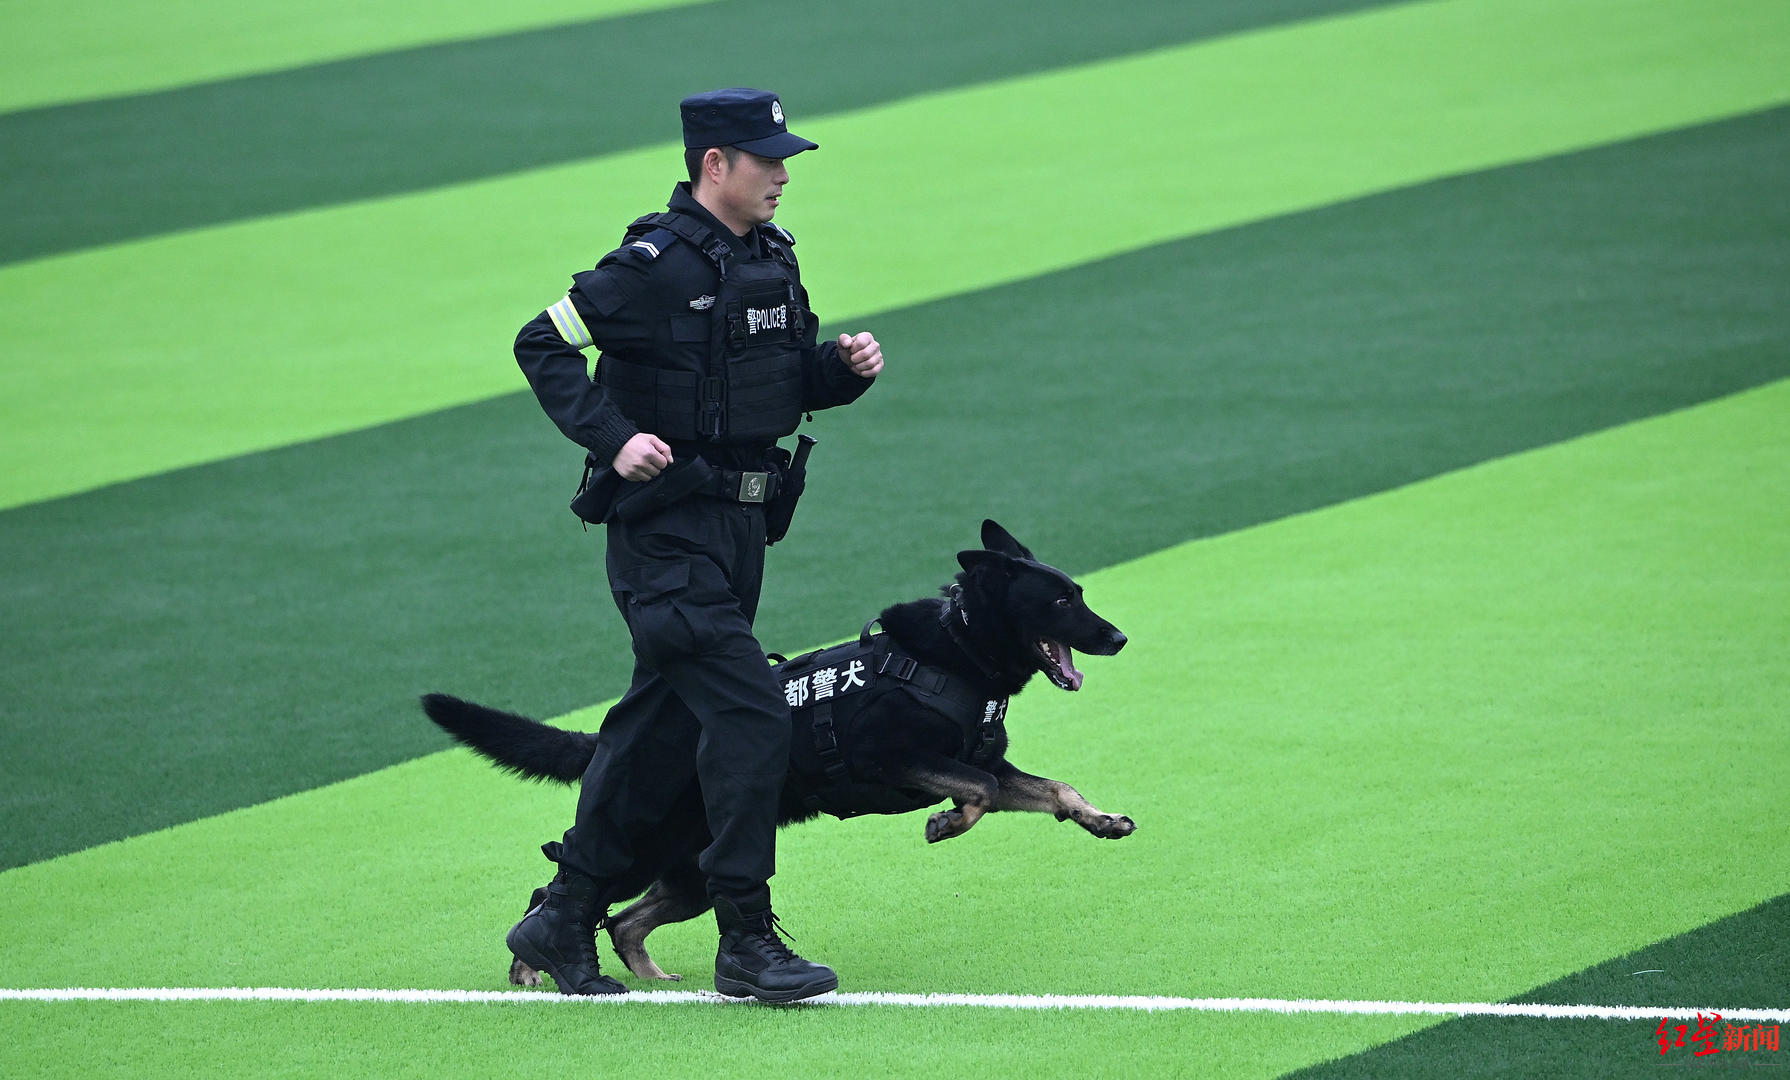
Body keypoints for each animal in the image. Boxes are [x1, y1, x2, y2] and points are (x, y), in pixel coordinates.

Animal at [422, 519, 1131, 981]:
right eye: (1062, 599)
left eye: (1080, 593)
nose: (1119, 638)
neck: (958, 649)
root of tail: (620, 742)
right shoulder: (897, 761)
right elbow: (976, 793)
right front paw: (946, 822)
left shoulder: (990, 765)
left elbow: (1053, 788)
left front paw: (1099, 819)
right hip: (641, 850)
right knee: (560, 887)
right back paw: (533, 964)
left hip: (694, 872)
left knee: (623, 921)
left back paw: (652, 980)